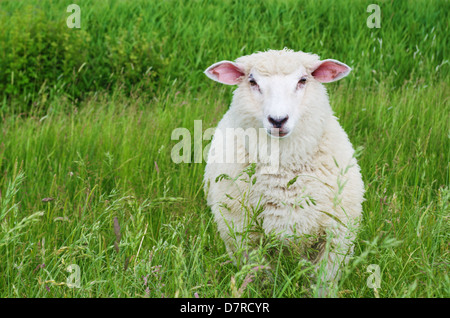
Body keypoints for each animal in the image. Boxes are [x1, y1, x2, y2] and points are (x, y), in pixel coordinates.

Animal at [204, 48, 366, 294]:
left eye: (303, 80)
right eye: (253, 82)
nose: (278, 120)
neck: (284, 171)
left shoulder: (337, 236)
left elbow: (322, 282)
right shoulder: (244, 236)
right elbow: (262, 278)